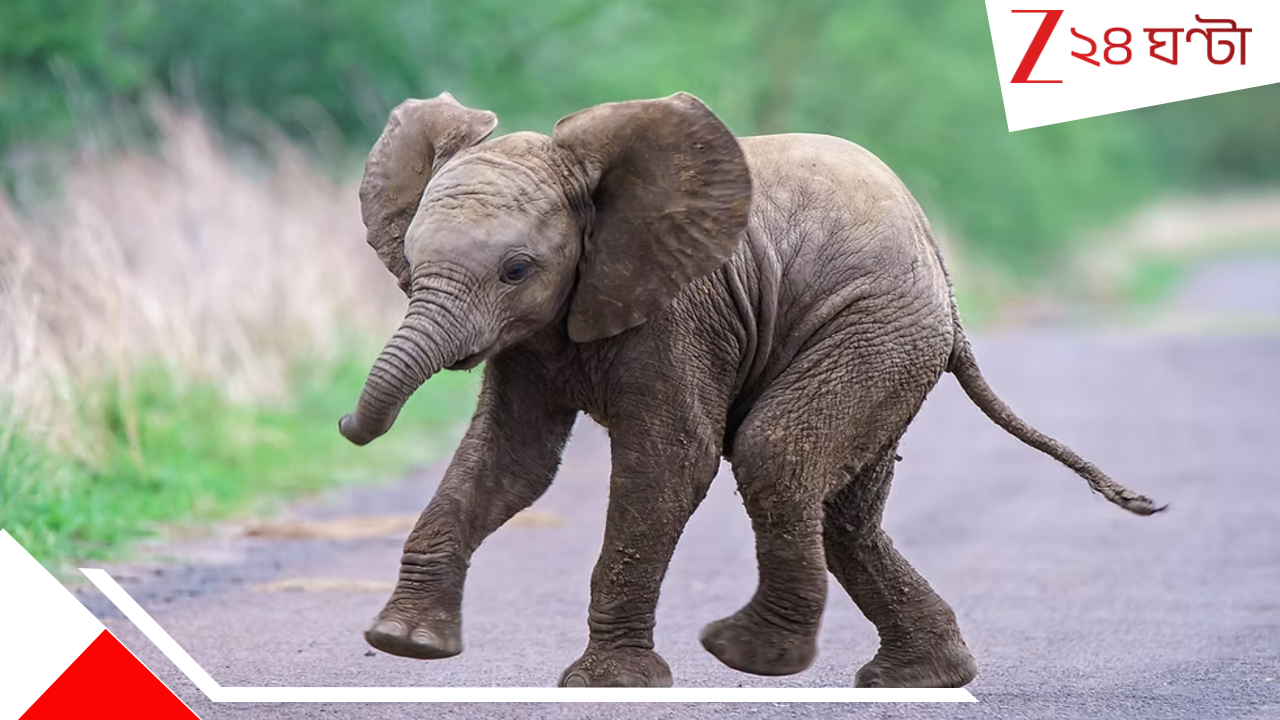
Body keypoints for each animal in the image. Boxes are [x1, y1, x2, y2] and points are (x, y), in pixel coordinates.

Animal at [339, 91, 1162, 688]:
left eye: (516, 269)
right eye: (409, 258)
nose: (345, 424)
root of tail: (946, 284)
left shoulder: (683, 310)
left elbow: (671, 461)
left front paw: (609, 685)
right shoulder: (537, 336)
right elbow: (510, 463)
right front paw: (406, 643)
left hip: (876, 331)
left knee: (776, 455)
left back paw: (746, 656)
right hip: (892, 349)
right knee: (841, 515)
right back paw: (922, 678)